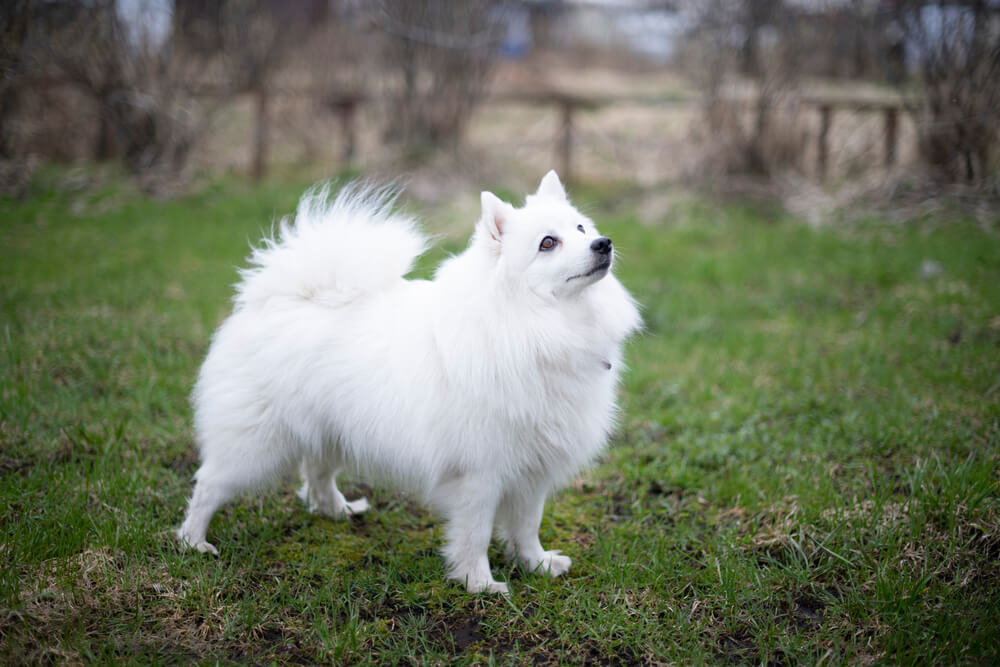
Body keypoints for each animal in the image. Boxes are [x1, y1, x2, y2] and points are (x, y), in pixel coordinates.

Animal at [180, 170, 640, 592]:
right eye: (548, 243)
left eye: (580, 229)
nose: (603, 243)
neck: (533, 326)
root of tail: (275, 299)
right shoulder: (480, 472)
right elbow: (475, 534)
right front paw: (479, 584)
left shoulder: (532, 469)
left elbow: (527, 526)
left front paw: (536, 564)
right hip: (255, 444)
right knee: (209, 484)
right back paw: (192, 542)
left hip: (332, 428)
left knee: (317, 473)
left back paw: (338, 511)